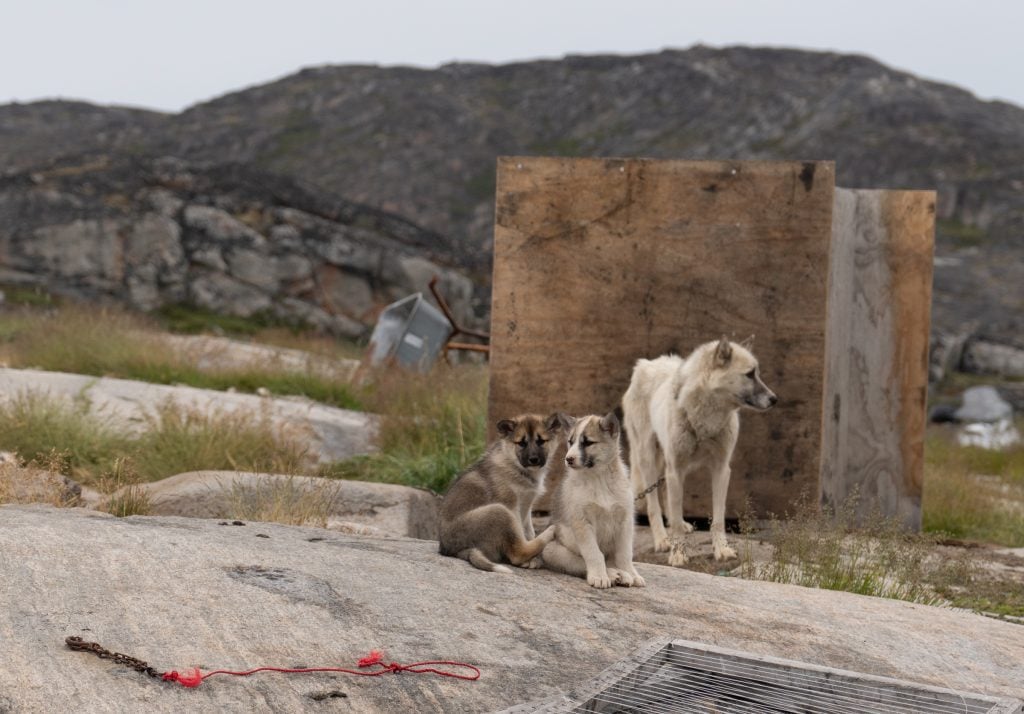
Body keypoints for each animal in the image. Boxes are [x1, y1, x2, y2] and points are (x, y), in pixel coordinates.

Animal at [436, 415, 561, 569]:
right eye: (521, 443)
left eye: (541, 441)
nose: (534, 460)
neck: (515, 466)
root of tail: (452, 550)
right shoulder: (511, 505)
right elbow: (521, 534)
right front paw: (530, 560)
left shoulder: (527, 506)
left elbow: (529, 531)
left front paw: (535, 558)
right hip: (498, 512)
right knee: (518, 552)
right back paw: (550, 531)